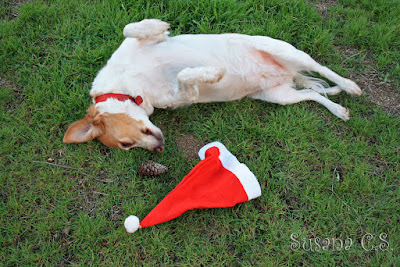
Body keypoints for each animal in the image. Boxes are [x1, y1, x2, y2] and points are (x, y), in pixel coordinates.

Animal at [63, 18, 362, 153]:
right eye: (126, 146)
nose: (159, 149)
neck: (127, 83)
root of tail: (287, 73)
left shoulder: (144, 43)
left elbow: (130, 28)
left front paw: (158, 24)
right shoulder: (176, 98)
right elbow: (186, 78)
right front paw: (210, 73)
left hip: (286, 52)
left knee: (322, 69)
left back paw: (349, 86)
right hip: (279, 95)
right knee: (312, 92)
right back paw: (338, 108)